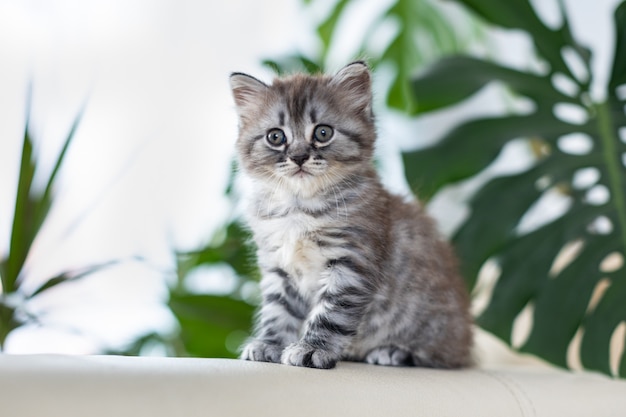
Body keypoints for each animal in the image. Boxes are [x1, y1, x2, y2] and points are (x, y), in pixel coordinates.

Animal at [228, 61, 468, 368]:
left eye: (322, 133)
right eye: (275, 137)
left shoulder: (351, 262)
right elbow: (278, 310)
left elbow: (330, 313)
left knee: (440, 357)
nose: (298, 157)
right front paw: (269, 344)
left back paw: (394, 351)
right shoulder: (278, 266)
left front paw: (312, 349)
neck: (299, 205)